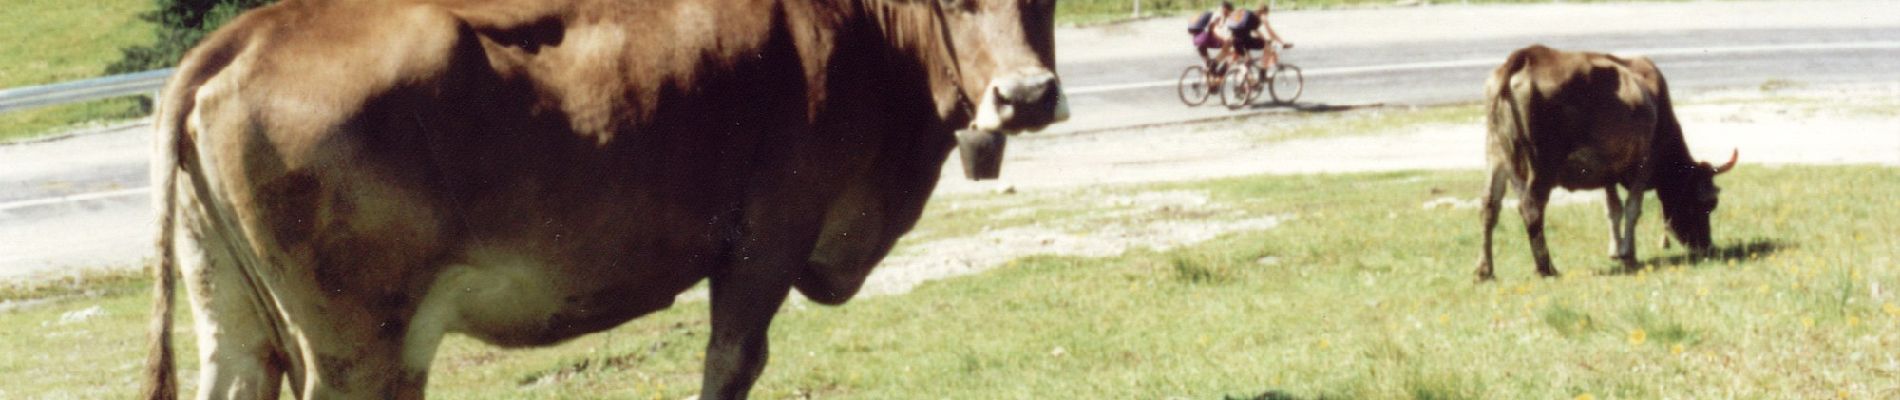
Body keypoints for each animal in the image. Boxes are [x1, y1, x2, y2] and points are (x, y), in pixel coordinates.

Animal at [144, 0, 1071, 398]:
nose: (1026, 95)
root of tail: (247, 31)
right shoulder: (764, 237)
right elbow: (732, 362)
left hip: (235, 319)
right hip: (354, 343)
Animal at [1474, 44, 1740, 280]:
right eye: (1708, 202)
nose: (1706, 246)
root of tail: (1526, 55)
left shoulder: (1607, 172)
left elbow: (1613, 209)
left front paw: (1616, 251)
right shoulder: (1644, 163)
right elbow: (1632, 208)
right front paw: (1628, 254)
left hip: (1495, 154)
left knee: (1490, 205)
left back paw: (1484, 270)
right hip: (1542, 164)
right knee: (1531, 208)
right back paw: (1545, 268)